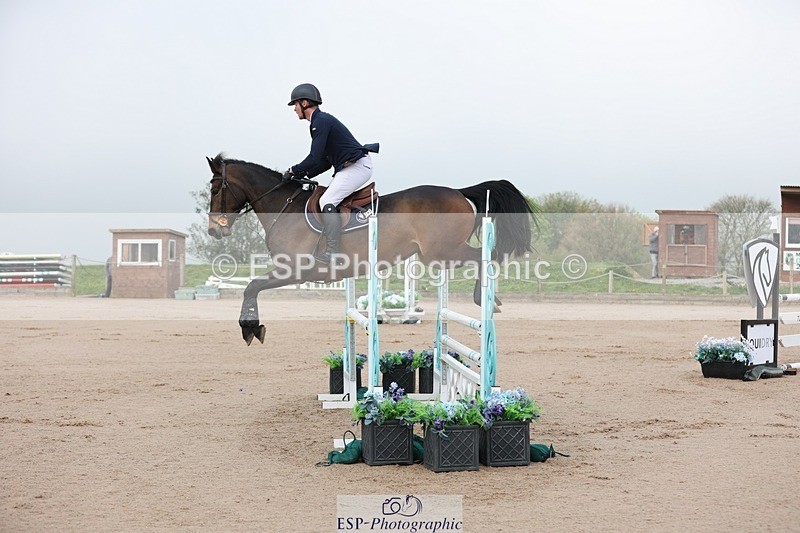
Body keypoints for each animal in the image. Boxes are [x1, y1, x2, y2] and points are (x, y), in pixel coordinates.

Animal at [205, 153, 536, 345]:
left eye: (215, 188)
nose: (214, 230)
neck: (284, 207)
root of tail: (459, 192)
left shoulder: (295, 270)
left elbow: (251, 286)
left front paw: (250, 328)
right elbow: (252, 286)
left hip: (442, 251)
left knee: (486, 258)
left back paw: (487, 299)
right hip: (439, 254)